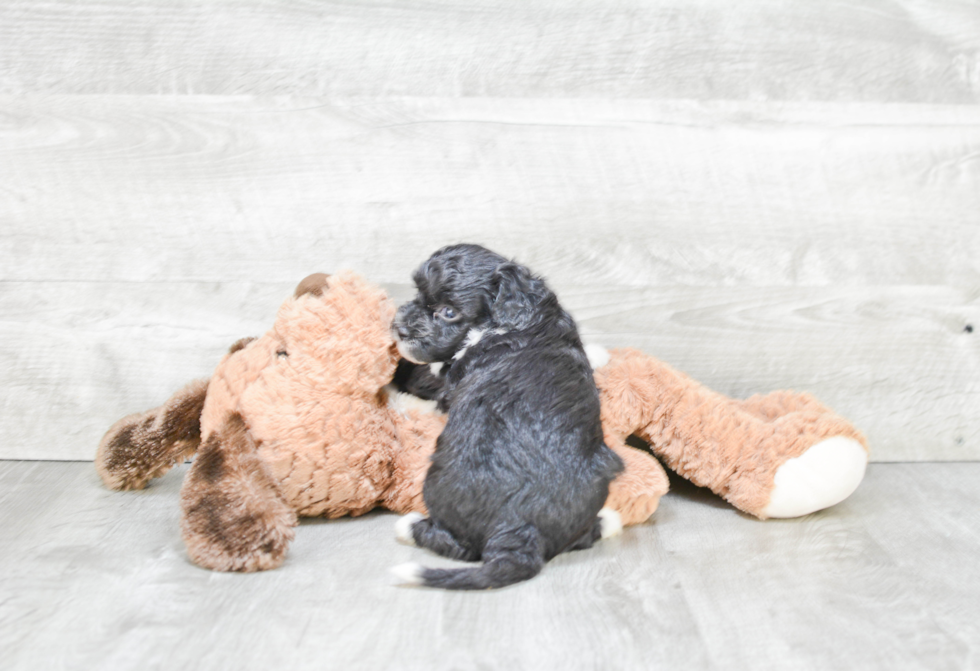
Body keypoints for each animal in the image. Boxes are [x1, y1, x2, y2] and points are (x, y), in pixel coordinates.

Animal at [388, 244, 620, 592]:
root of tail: (519, 527)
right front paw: (597, 354)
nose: (399, 327)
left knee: (457, 546)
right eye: (418, 293)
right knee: (581, 537)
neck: (517, 317)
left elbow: (435, 392)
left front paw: (400, 399)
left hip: (437, 487)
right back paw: (609, 521)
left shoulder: (453, 383)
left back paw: (409, 525)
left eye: (448, 312)